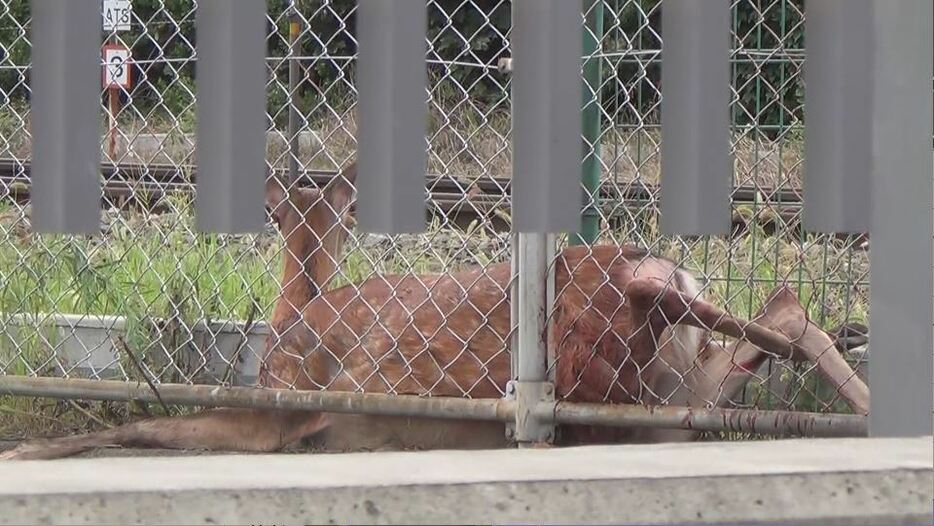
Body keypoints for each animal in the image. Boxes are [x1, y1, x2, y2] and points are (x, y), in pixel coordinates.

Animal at [0, 162, 872, 462]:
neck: (295, 306)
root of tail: (638, 280)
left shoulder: (279, 407)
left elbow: (142, 427)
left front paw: (30, 453)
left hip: (606, 387)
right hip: (673, 380)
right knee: (786, 314)